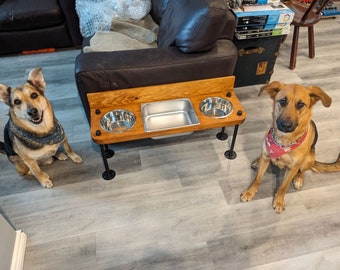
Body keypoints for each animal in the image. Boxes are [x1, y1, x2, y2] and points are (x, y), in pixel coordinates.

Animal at [240, 81, 338, 213]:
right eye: (282, 101)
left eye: (301, 104)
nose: (285, 125)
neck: (283, 143)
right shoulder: (266, 157)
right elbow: (258, 179)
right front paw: (250, 192)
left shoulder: (292, 168)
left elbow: (284, 186)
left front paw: (279, 200)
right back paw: (257, 161)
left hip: (309, 158)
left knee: (302, 170)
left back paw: (298, 179)